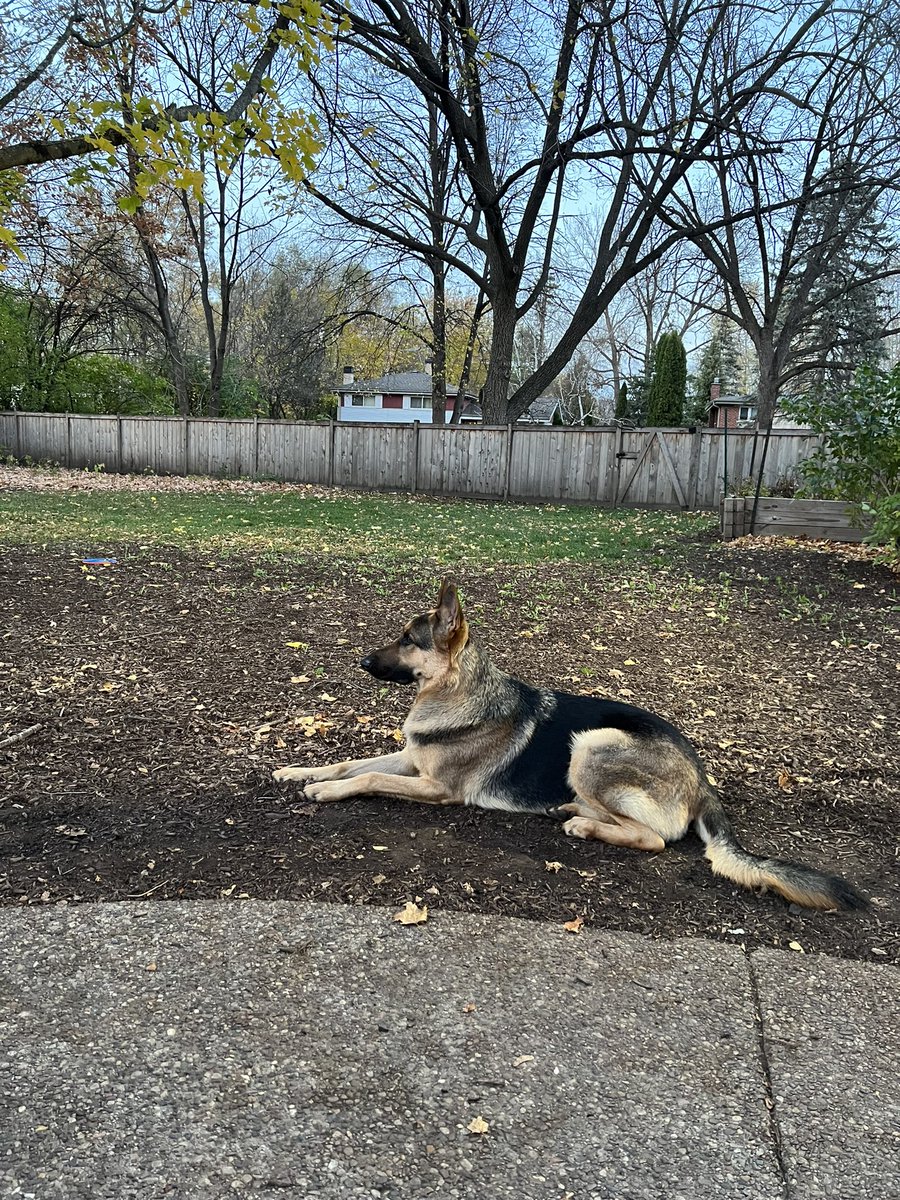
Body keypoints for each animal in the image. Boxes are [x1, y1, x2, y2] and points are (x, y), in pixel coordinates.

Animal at [273, 580, 868, 907]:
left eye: (406, 640)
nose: (361, 661)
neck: (458, 692)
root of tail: (702, 780)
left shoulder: (437, 787)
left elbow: (369, 776)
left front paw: (325, 793)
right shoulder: (410, 758)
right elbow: (350, 762)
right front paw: (298, 773)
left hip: (592, 743)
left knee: (653, 839)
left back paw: (584, 823)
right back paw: (574, 809)